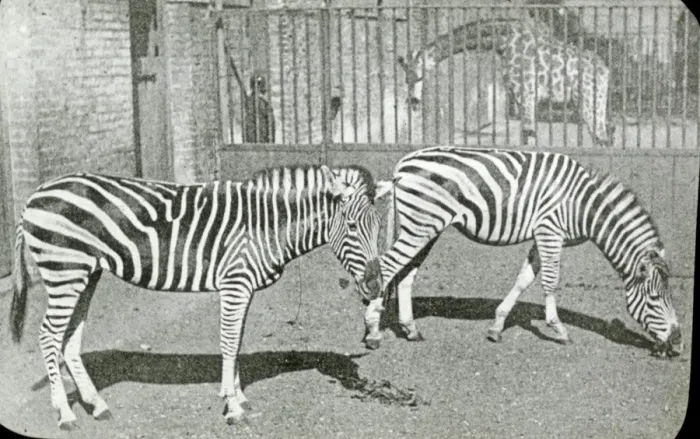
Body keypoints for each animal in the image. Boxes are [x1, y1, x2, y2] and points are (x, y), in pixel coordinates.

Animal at [9, 165, 383, 429]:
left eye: (380, 227)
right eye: (352, 227)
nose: (377, 287)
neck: (266, 225)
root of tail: (34, 195)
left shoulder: (242, 287)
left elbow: (237, 341)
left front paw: (239, 396)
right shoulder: (235, 283)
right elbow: (229, 342)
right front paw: (232, 406)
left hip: (86, 274)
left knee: (69, 339)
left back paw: (97, 405)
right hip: (64, 270)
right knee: (48, 335)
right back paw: (65, 414)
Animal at [361, 146, 683, 358]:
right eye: (655, 298)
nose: (678, 343)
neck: (583, 204)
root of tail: (402, 163)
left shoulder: (543, 236)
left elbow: (524, 279)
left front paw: (497, 325)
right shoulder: (551, 231)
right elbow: (550, 281)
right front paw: (558, 329)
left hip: (426, 227)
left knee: (405, 274)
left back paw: (410, 329)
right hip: (422, 224)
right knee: (387, 267)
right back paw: (373, 330)